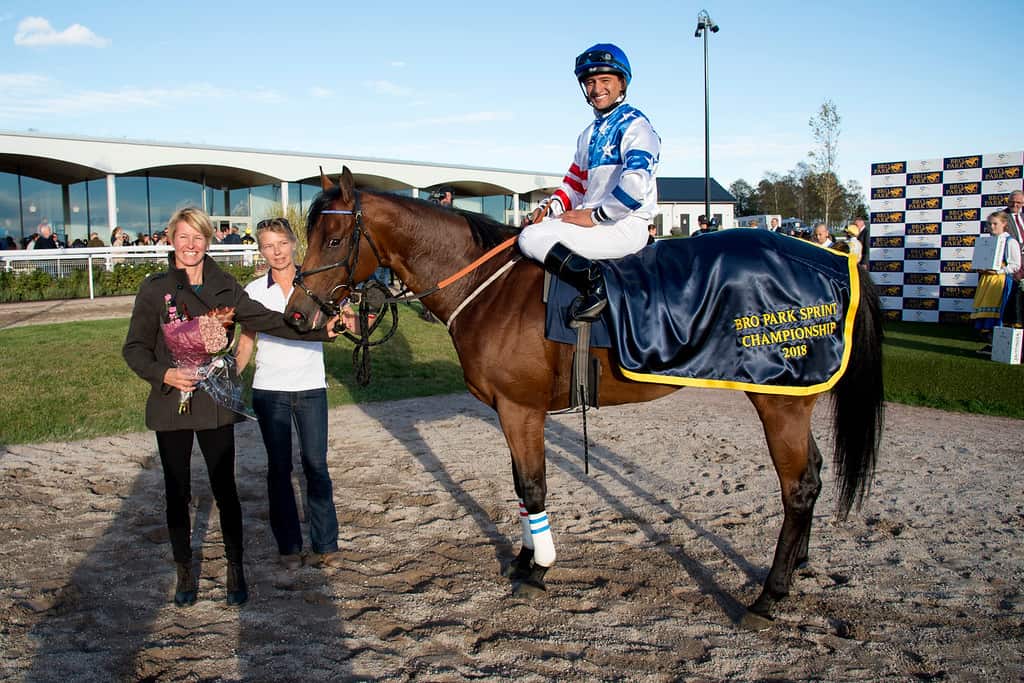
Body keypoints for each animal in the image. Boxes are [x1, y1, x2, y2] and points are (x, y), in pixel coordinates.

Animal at [284, 167, 884, 626]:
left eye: (333, 240)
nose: (297, 314)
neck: (490, 288)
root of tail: (833, 261)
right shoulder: (512, 413)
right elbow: (520, 486)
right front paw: (524, 559)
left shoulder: (520, 409)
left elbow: (533, 486)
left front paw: (538, 569)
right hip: (791, 397)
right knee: (813, 475)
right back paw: (797, 566)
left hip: (779, 399)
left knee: (799, 487)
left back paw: (769, 596)